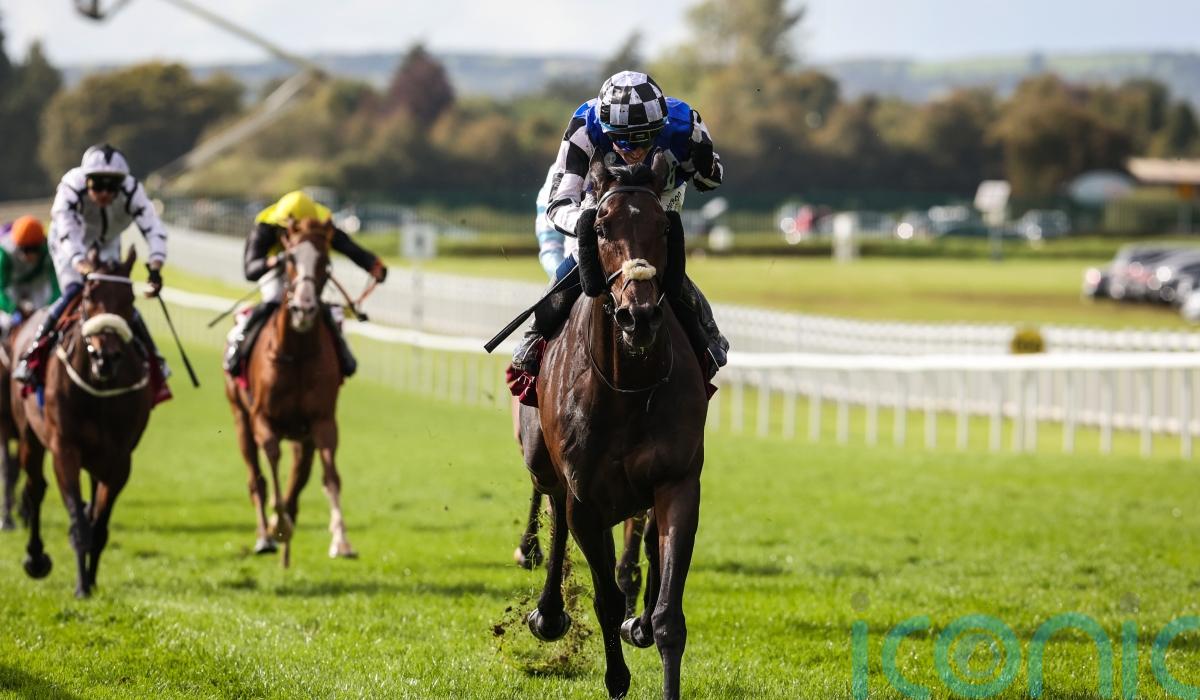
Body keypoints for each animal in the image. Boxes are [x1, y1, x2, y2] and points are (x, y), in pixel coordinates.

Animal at [10, 248, 153, 598]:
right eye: (89, 295)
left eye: (129, 299)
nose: (106, 357)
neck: (98, 392)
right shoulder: (65, 449)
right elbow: (78, 519)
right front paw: (81, 586)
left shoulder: (119, 460)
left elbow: (98, 524)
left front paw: (90, 578)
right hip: (29, 436)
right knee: (35, 489)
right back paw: (35, 558)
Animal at [224, 217, 355, 568]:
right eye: (289, 259)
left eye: (325, 261)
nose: (304, 309)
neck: (296, 353)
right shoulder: (262, 420)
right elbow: (270, 464)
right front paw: (278, 526)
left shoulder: (323, 423)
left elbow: (331, 477)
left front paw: (341, 540)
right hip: (240, 418)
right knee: (255, 478)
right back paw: (266, 537)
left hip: (301, 436)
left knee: (299, 476)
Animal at [519, 153, 708, 700]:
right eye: (600, 227)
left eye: (664, 226)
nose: (638, 315)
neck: (629, 386)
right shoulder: (586, 497)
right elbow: (600, 596)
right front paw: (616, 677)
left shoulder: (677, 480)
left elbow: (669, 617)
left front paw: (647, 624)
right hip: (543, 463)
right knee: (553, 510)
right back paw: (548, 611)